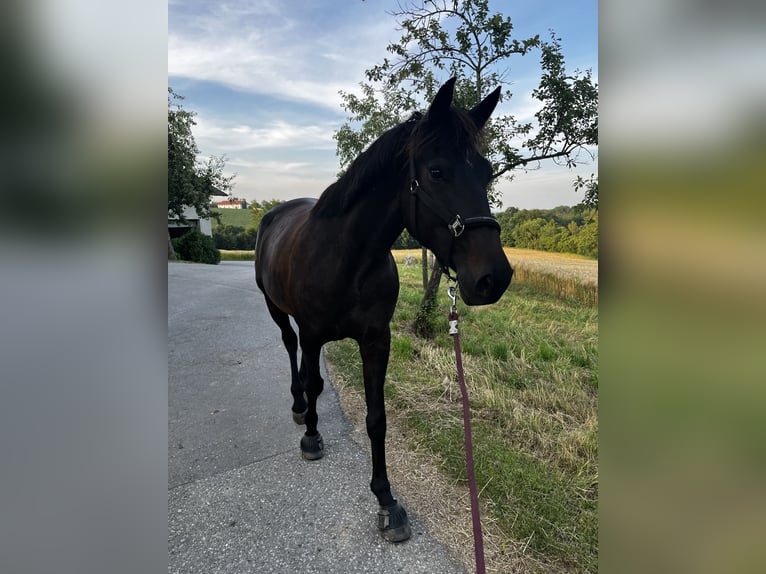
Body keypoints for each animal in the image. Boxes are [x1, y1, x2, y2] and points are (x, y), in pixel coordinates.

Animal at [254, 77, 513, 542]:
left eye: (485, 171)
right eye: (437, 171)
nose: (493, 278)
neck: (347, 257)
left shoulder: (377, 340)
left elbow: (377, 418)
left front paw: (387, 500)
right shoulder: (312, 333)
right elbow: (313, 379)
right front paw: (313, 437)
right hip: (276, 310)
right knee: (290, 350)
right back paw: (300, 407)